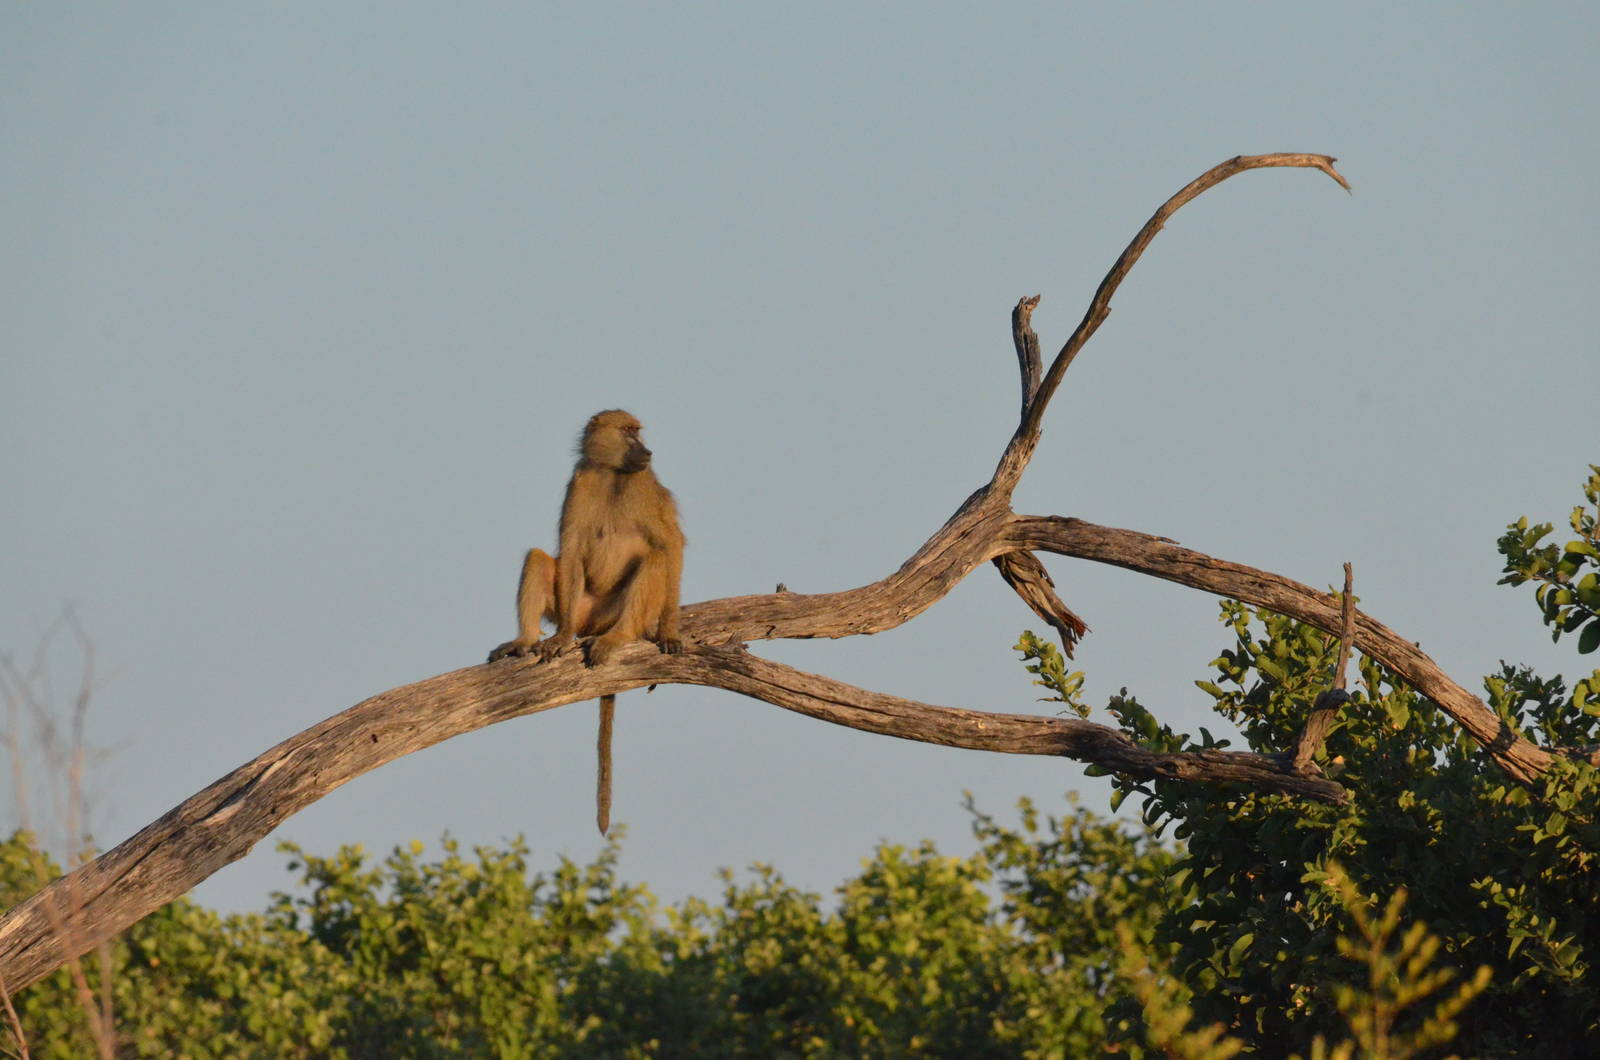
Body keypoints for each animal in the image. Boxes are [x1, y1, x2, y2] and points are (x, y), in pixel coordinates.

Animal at [488, 410, 685, 836]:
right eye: (628, 432)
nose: (648, 451)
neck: (612, 474)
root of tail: (594, 625)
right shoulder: (579, 482)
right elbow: (573, 546)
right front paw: (556, 639)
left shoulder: (647, 487)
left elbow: (669, 545)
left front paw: (670, 631)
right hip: (576, 606)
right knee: (539, 557)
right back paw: (528, 641)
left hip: (617, 611)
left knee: (654, 560)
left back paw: (619, 637)